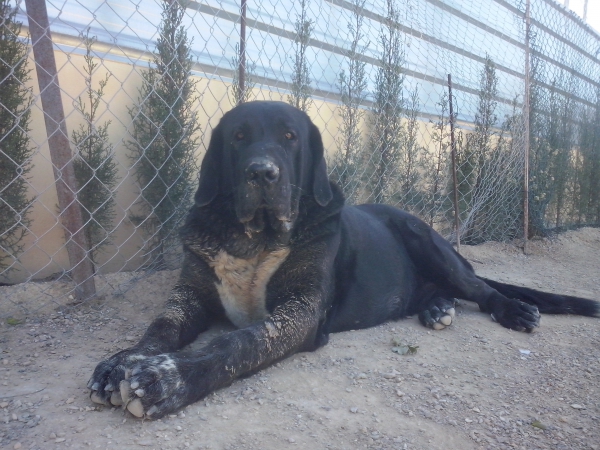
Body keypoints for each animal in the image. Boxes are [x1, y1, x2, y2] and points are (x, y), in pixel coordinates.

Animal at [86, 101, 596, 418]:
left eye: (289, 137)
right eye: (238, 137)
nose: (262, 173)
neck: (254, 237)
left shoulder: (299, 312)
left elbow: (239, 343)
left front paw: (166, 379)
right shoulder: (192, 293)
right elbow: (161, 326)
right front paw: (121, 362)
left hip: (428, 242)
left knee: (481, 288)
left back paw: (511, 309)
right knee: (438, 292)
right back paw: (436, 308)